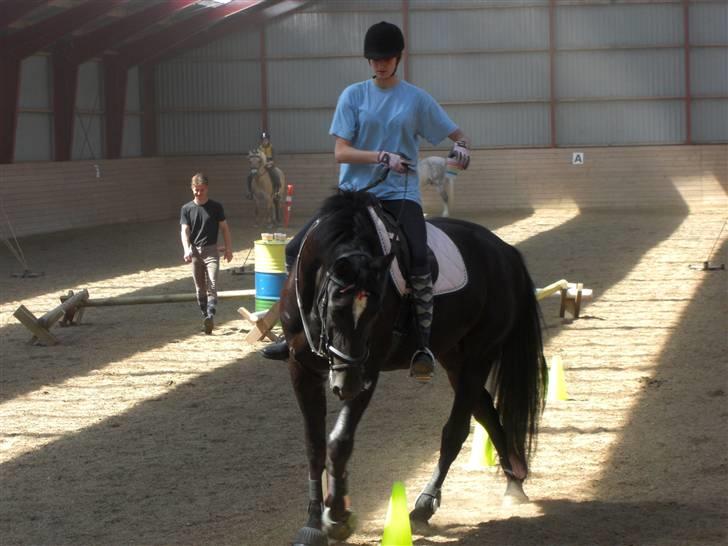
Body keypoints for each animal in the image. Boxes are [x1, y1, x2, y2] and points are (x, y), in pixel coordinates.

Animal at [278, 190, 544, 544]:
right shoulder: (302, 368)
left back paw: (424, 507)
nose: (347, 385)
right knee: (486, 411)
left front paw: (337, 517)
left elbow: (339, 441)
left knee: (456, 430)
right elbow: (315, 444)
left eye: (377, 310)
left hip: (479, 355)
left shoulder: (368, 369)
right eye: (333, 307)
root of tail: (504, 250)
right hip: (454, 358)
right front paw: (313, 521)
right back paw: (514, 482)